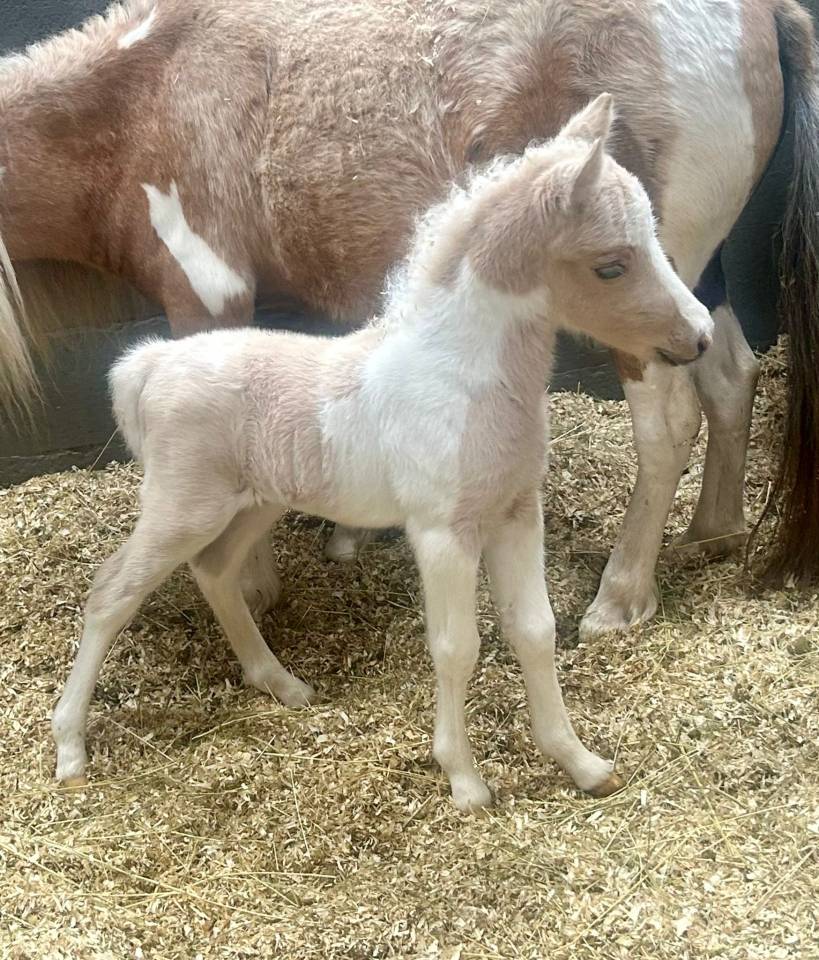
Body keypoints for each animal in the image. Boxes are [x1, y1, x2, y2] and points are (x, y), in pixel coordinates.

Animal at [1, 0, 817, 641]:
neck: (146, 93)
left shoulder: (206, 290)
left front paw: (252, 588)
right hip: (687, 285)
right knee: (729, 374)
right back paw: (711, 534)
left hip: (645, 308)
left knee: (669, 422)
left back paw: (619, 600)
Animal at [51, 95, 714, 808]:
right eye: (611, 264)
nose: (701, 335)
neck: (460, 377)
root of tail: (151, 364)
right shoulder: (443, 531)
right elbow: (456, 647)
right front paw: (464, 781)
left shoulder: (515, 511)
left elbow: (535, 631)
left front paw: (582, 764)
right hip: (182, 508)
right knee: (111, 593)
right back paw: (70, 749)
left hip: (254, 503)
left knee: (216, 573)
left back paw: (281, 684)